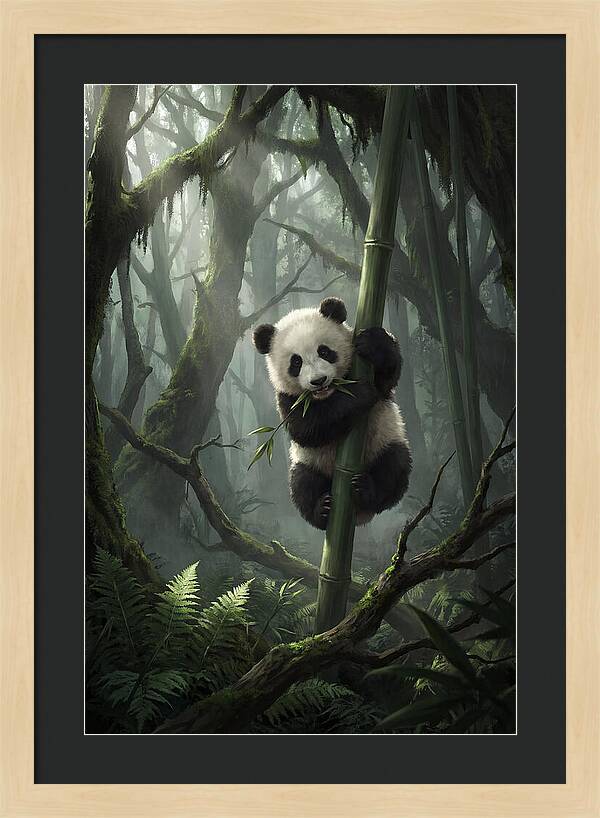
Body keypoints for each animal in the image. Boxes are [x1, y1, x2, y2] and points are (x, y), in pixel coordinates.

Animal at [252, 297, 412, 530]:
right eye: (296, 362)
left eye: (324, 351)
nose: (318, 381)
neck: (329, 394)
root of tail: (359, 516)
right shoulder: (287, 398)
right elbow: (307, 428)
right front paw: (360, 392)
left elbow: (387, 377)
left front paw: (373, 343)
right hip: (309, 462)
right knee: (302, 484)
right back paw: (323, 510)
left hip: (385, 441)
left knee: (393, 466)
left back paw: (366, 490)